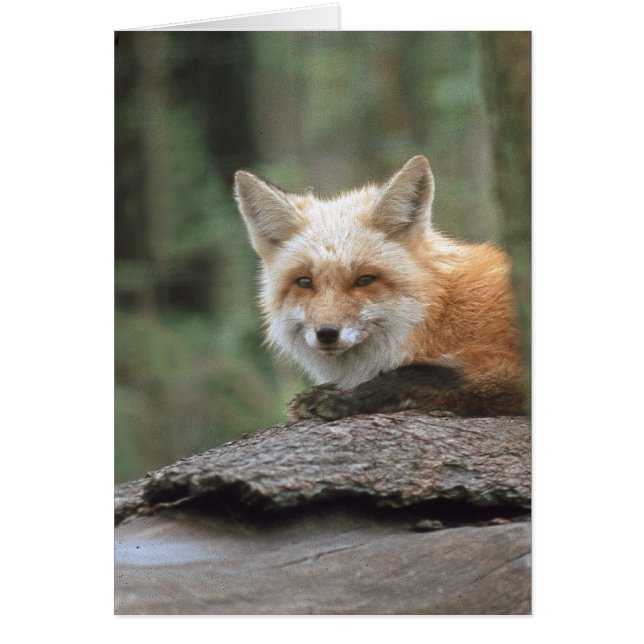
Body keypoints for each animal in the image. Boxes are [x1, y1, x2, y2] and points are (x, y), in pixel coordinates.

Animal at [234, 155, 526, 421]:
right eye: (304, 282)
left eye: (364, 280)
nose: (326, 334)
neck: (439, 315)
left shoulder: (511, 363)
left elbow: (417, 373)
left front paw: (344, 399)